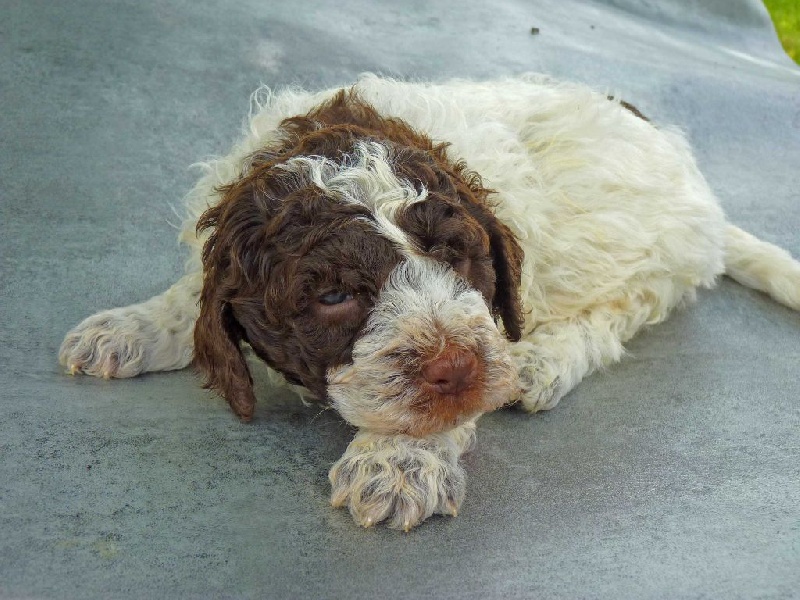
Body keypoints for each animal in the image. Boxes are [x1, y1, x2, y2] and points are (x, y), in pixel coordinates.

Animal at [59, 74, 800, 528]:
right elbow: (195, 294)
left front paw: (398, 461)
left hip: (651, 261)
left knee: (615, 315)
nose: (463, 369)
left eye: (457, 256)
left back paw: (543, 360)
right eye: (333, 295)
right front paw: (129, 327)